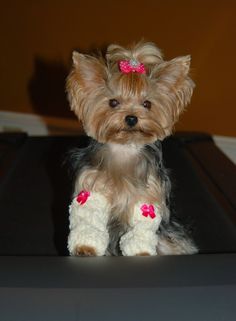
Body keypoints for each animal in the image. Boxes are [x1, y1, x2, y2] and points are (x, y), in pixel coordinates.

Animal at [66, 41, 197, 255]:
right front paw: (85, 247)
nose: (131, 118)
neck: (124, 148)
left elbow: (141, 231)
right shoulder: (90, 192)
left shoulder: (147, 200)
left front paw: (141, 253)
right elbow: (89, 221)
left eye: (147, 104)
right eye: (113, 102)